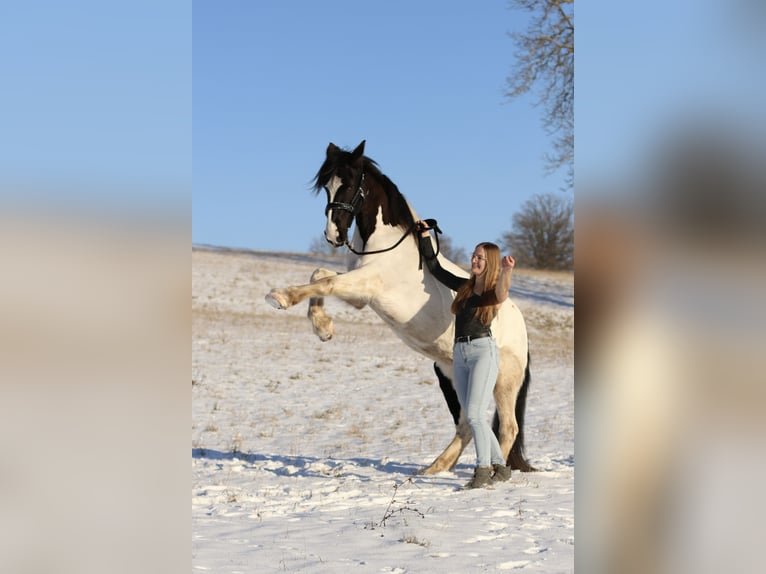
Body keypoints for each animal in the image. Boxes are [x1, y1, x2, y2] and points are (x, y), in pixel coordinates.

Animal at [266, 140, 534, 474]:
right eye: (327, 186)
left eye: (350, 183)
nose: (333, 235)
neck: (384, 245)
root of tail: (521, 329)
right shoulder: (359, 295)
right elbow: (320, 277)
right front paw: (323, 329)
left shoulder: (366, 286)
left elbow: (324, 282)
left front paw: (280, 297)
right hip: (452, 373)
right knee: (466, 425)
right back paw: (432, 469)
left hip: (503, 381)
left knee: (507, 427)